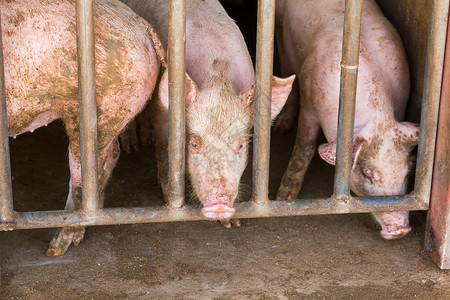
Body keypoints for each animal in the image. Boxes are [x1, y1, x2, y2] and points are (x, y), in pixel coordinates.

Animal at [0, 0, 166, 255]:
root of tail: (144, 27)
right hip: (115, 110)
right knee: (111, 155)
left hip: (101, 107)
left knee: (84, 175)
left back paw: (56, 247)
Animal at [119, 0, 296, 226]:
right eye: (194, 144)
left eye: (241, 145)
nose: (220, 204)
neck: (217, 76)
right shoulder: (161, 111)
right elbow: (164, 150)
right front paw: (169, 200)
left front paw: (232, 224)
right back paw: (133, 146)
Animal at [276, 0, 420, 239]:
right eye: (367, 174)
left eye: (406, 172)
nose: (400, 229)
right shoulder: (309, 104)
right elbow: (305, 147)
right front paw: (284, 198)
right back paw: (280, 129)